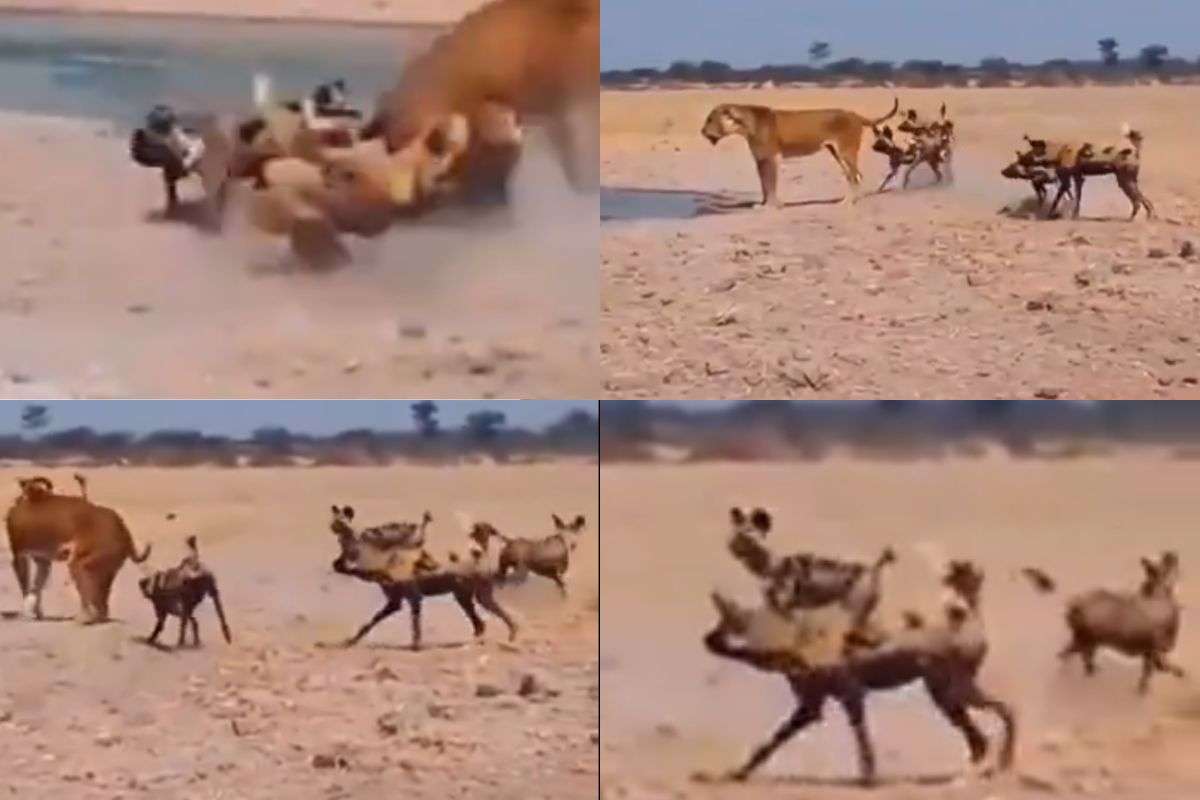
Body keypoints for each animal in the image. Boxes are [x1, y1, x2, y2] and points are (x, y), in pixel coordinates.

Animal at [6, 476, 151, 624]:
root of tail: (122, 530)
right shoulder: (40, 560)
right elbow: (34, 588)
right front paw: (35, 613)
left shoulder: (23, 556)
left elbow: (29, 588)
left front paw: (29, 614)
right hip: (105, 569)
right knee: (101, 598)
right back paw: (95, 616)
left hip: (82, 565)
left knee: (91, 597)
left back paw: (85, 618)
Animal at [700, 98, 899, 206]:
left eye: (710, 119)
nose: (702, 131)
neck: (745, 125)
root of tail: (855, 114)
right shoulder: (760, 160)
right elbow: (764, 184)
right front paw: (763, 203)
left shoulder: (771, 158)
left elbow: (770, 184)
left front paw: (771, 205)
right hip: (837, 153)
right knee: (852, 176)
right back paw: (850, 200)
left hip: (846, 151)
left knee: (855, 175)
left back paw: (848, 202)